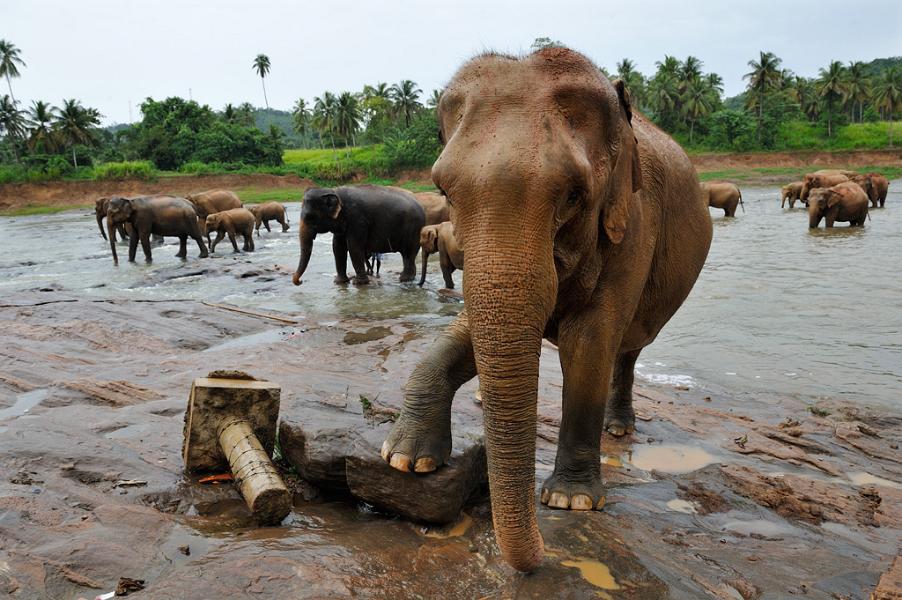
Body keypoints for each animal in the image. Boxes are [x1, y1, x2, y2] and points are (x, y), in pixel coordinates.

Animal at [294, 185, 428, 286]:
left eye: (309, 217)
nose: (300, 282)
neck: (335, 191)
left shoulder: (358, 220)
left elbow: (354, 247)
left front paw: (358, 283)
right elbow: (337, 247)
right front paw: (340, 282)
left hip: (414, 229)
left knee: (408, 253)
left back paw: (404, 279)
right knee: (407, 255)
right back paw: (408, 277)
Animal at [380, 48, 712, 572]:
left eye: (575, 195)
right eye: (445, 193)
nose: (541, 556)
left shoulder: (634, 222)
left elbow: (588, 342)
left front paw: (570, 501)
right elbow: (470, 327)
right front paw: (405, 459)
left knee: (626, 349)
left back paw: (619, 427)